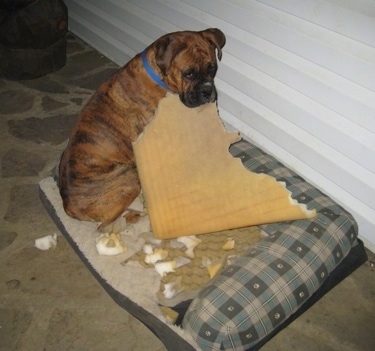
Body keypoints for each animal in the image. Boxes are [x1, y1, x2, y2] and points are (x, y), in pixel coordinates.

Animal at [57, 27, 225, 227]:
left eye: (212, 68)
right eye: (189, 73)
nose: (207, 91)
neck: (158, 77)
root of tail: (69, 206)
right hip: (129, 176)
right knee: (110, 221)